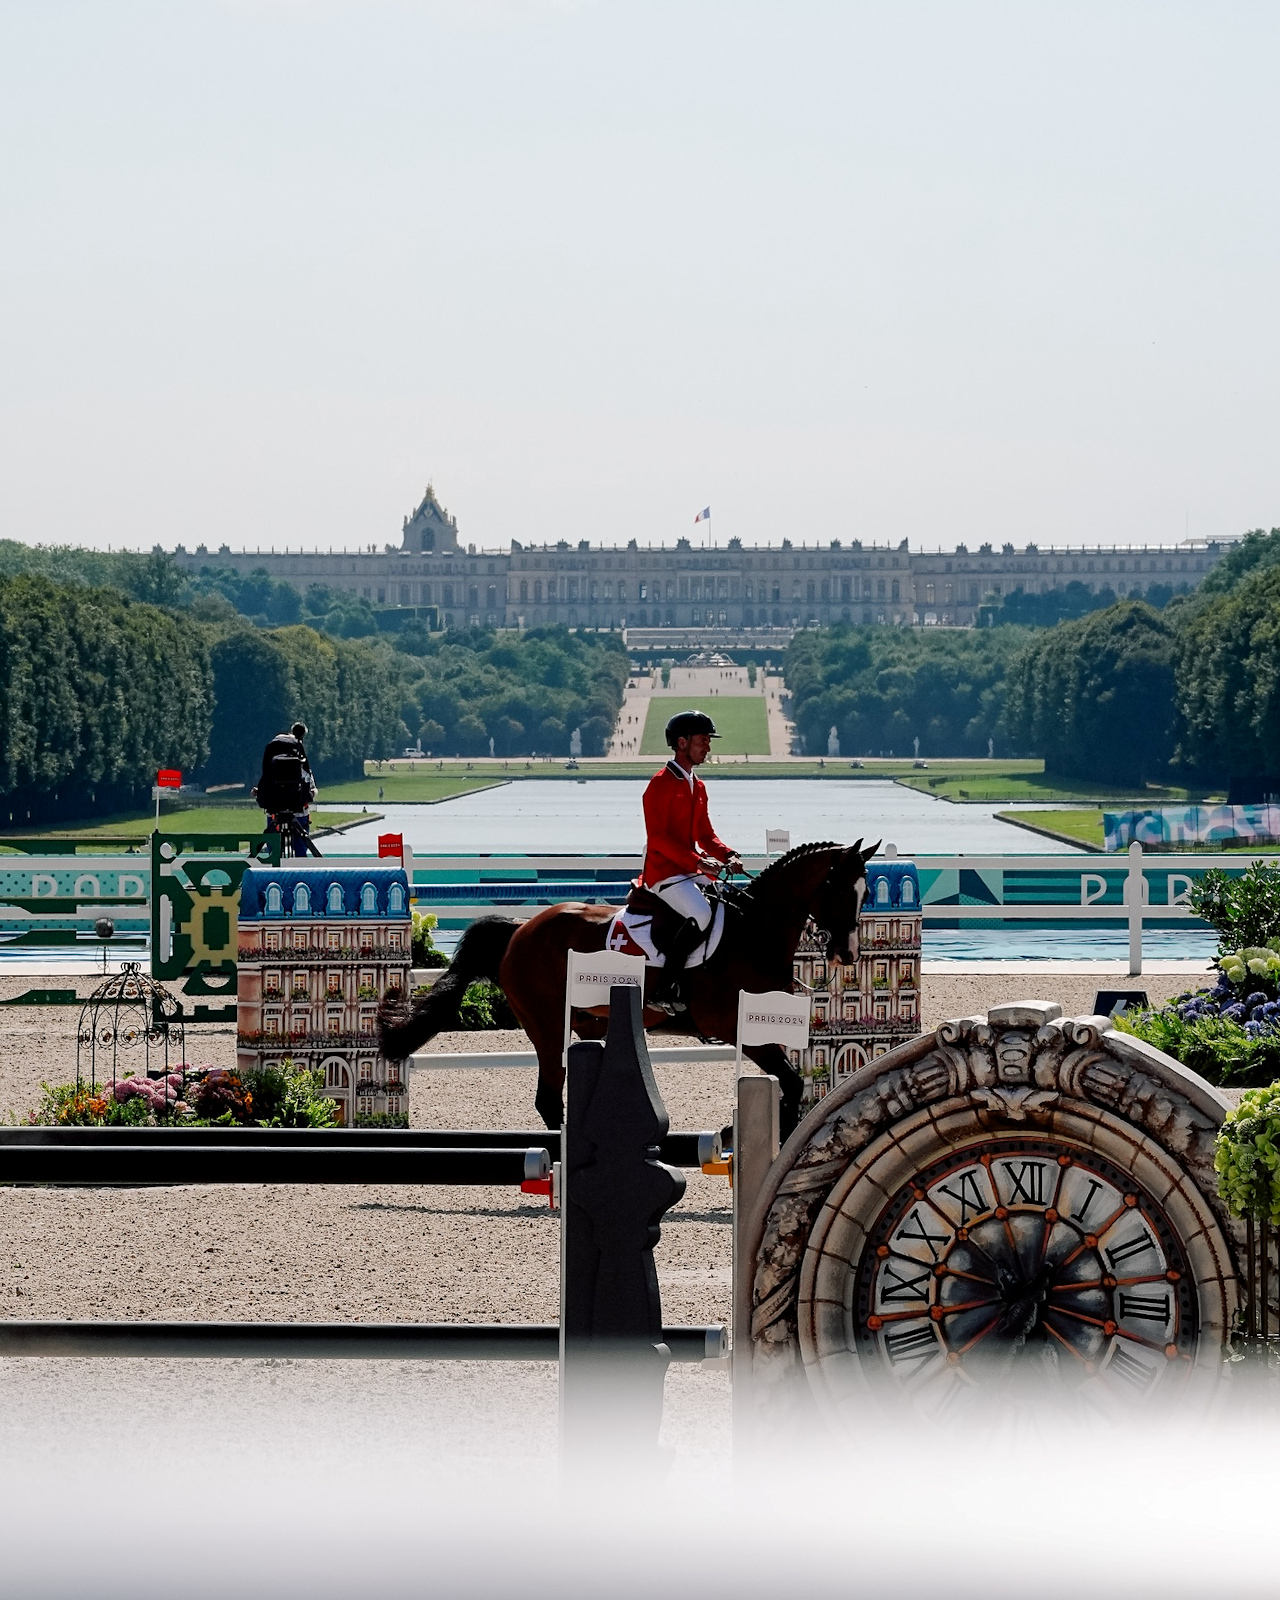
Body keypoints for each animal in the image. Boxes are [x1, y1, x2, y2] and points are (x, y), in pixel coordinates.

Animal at [380, 838, 876, 1139]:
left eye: (866, 893)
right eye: (838, 889)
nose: (847, 954)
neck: (752, 931)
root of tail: (521, 928)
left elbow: (794, 1086)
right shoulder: (738, 1028)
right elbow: (790, 1083)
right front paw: (734, 1134)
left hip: (584, 1023)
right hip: (546, 1024)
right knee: (548, 1098)